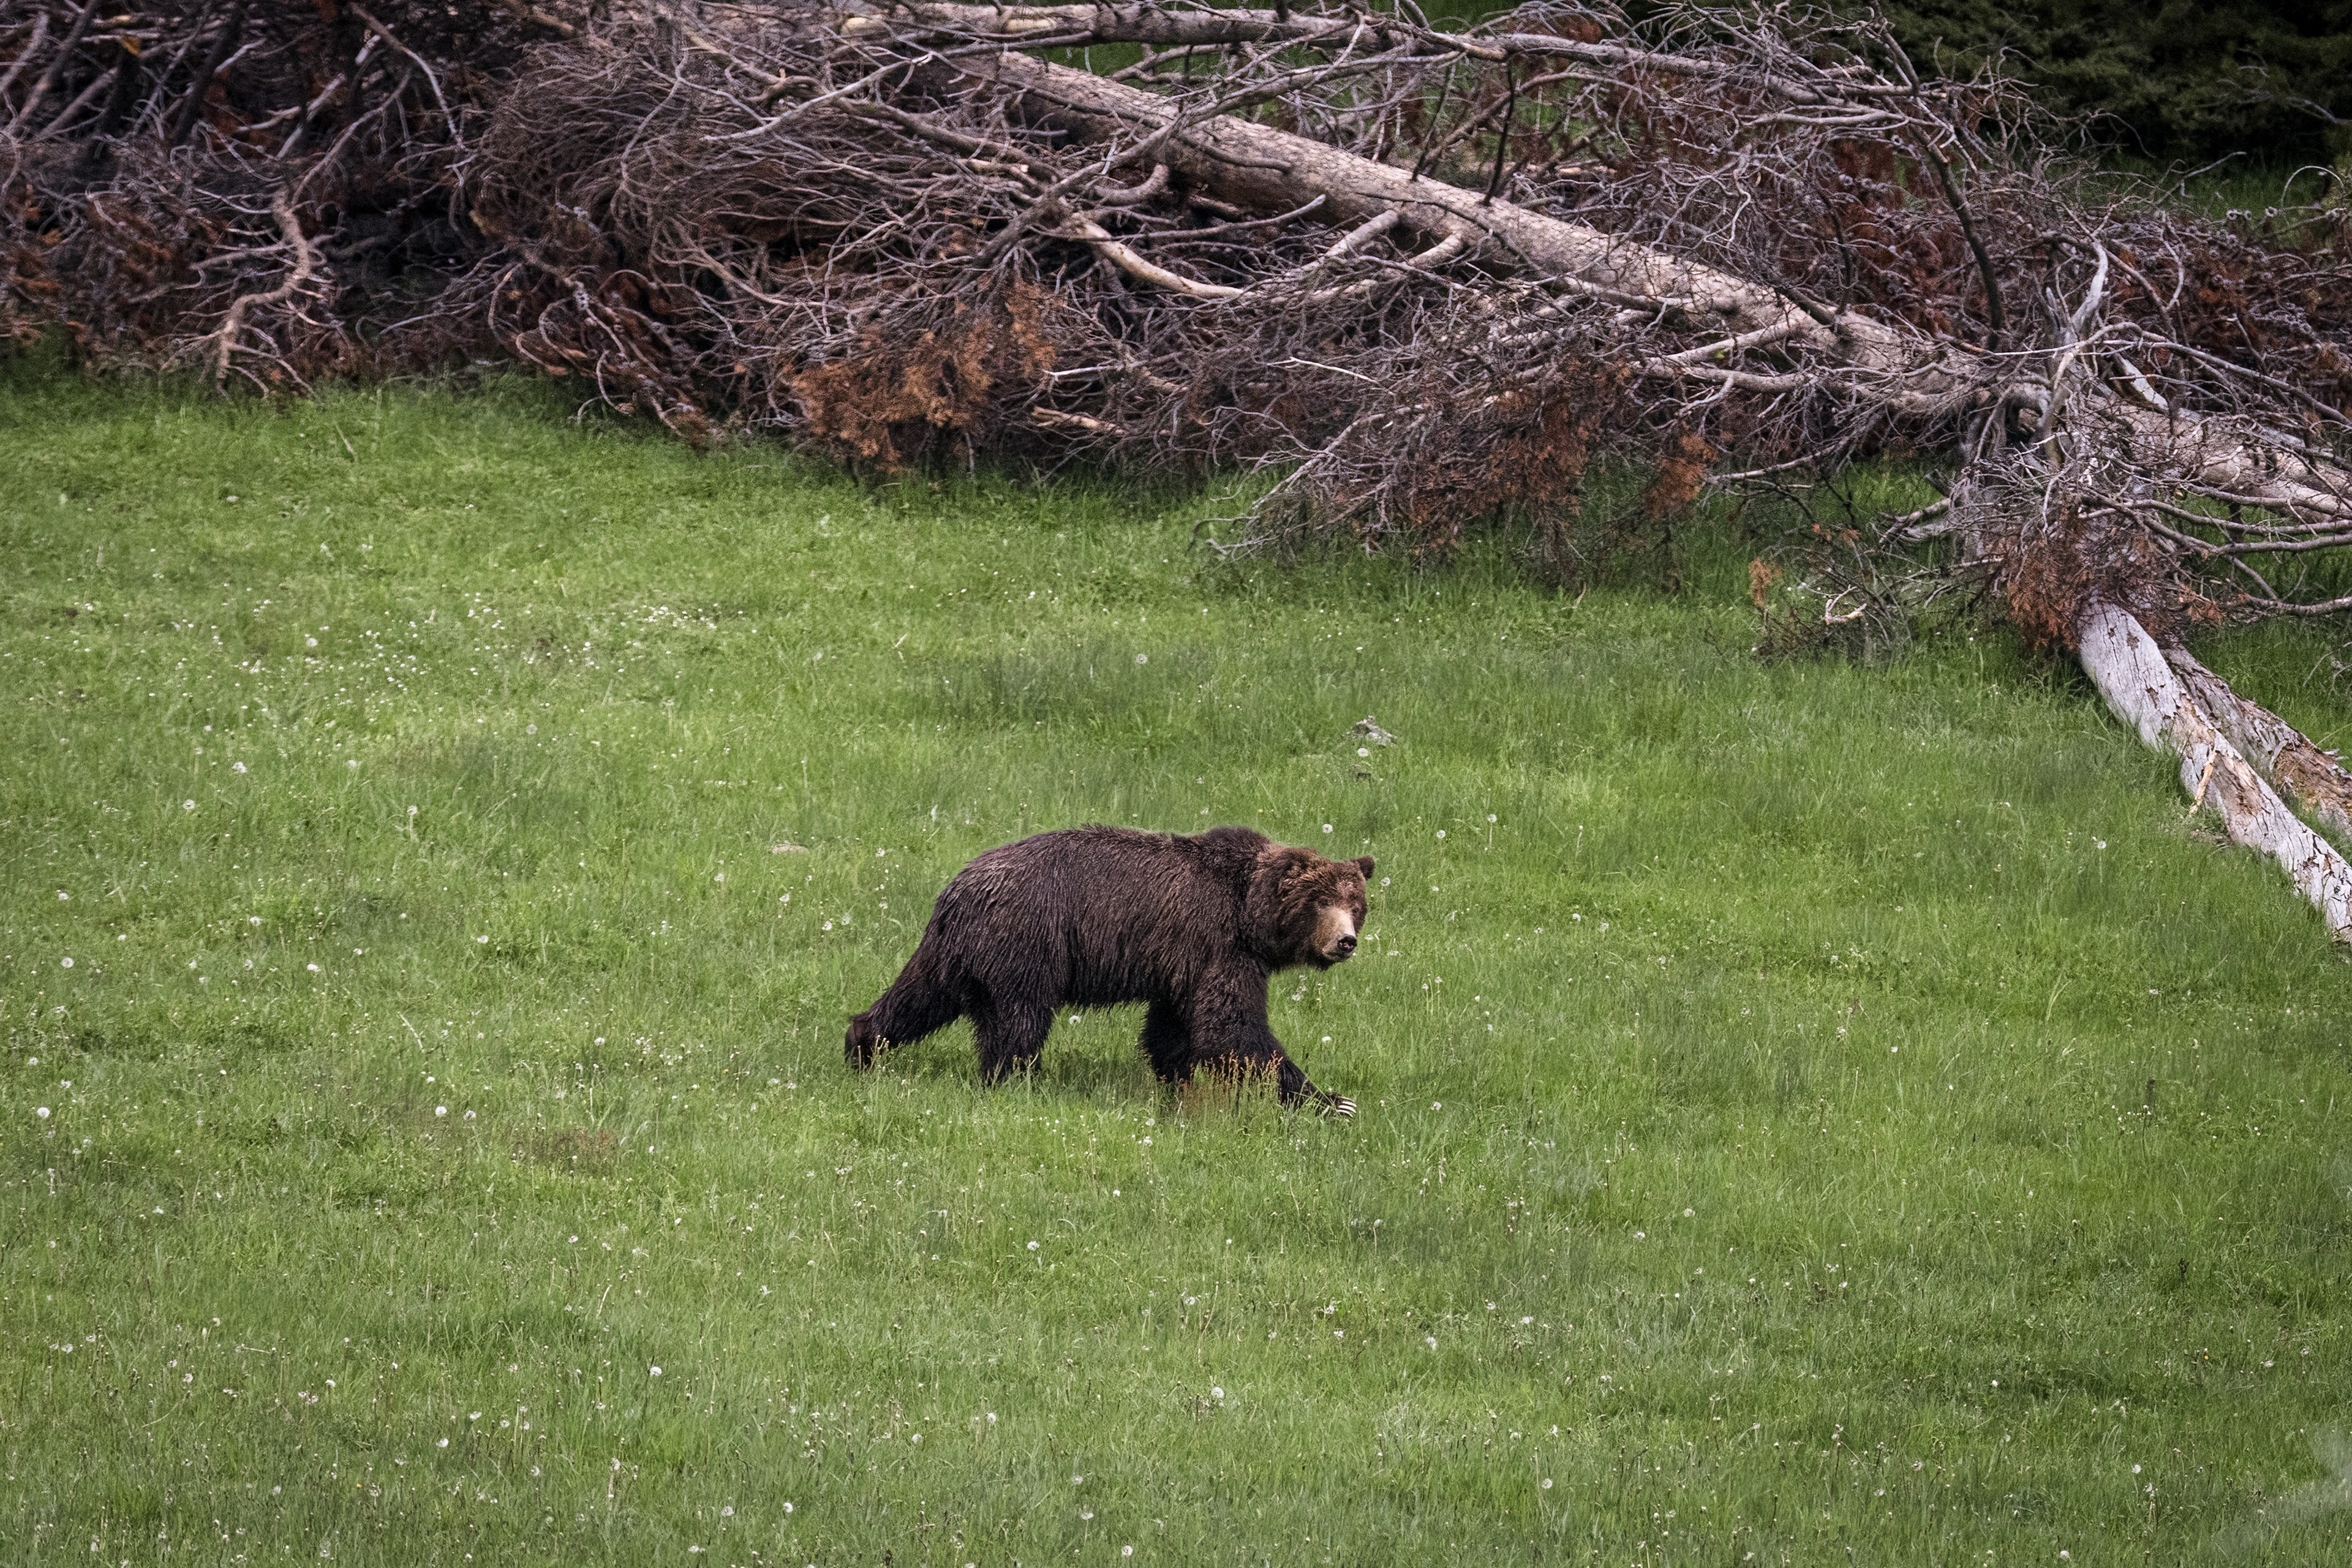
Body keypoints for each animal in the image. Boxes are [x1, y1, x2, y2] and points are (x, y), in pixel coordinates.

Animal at [845, 825, 1371, 1115]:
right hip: (1027, 943)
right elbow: (1232, 1027)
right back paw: (1010, 1080)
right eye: (1320, 901)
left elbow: (1172, 1029)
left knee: (918, 999)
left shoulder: (1180, 964)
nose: (1345, 942)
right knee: (1018, 1024)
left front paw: (1176, 1083)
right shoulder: (1217, 945)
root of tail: (955, 890)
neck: (1249, 915)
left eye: (1357, 904)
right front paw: (1332, 1101)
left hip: (954, 956)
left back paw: (861, 1043)